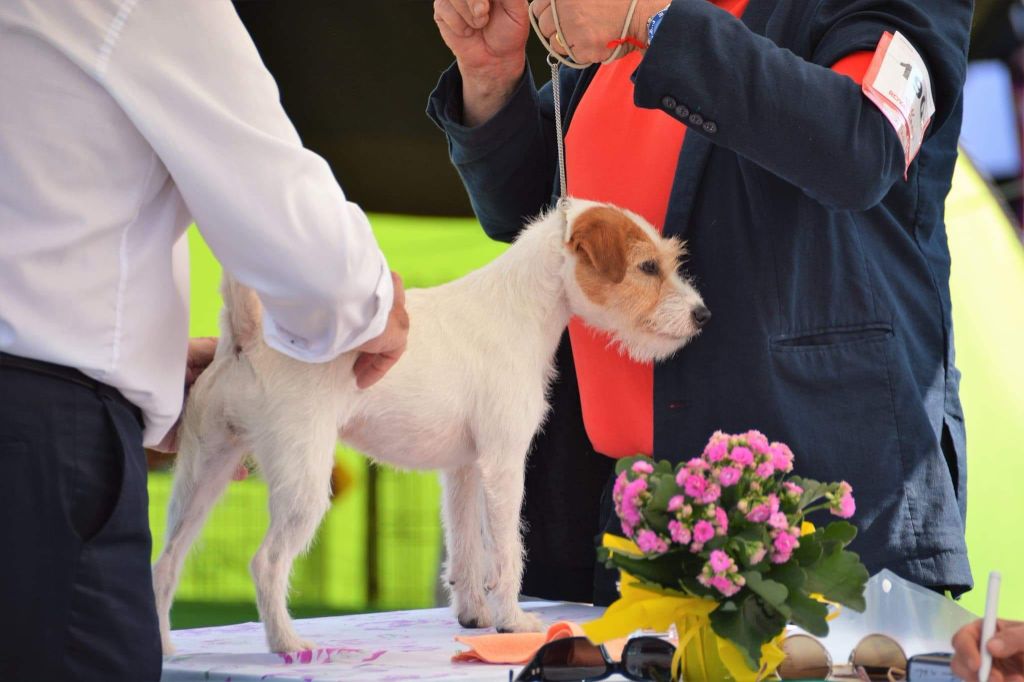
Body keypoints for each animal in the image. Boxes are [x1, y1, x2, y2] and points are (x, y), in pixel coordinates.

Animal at [151, 199, 708, 651]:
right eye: (647, 266)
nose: (702, 315)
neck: (519, 307)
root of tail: (246, 338)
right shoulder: (504, 464)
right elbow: (505, 549)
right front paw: (512, 620)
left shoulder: (463, 470)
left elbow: (465, 548)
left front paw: (474, 615)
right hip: (301, 479)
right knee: (265, 563)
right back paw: (287, 643)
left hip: (203, 472)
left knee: (165, 561)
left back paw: (165, 646)